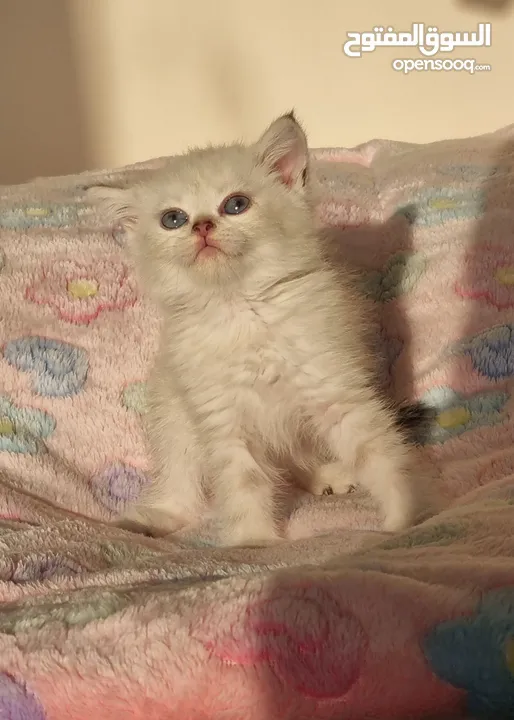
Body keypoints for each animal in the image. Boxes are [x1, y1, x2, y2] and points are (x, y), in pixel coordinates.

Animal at [89, 112, 420, 544]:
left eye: (236, 205)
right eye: (173, 219)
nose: (202, 226)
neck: (242, 311)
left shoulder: (334, 388)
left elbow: (377, 451)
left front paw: (403, 519)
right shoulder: (222, 418)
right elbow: (243, 481)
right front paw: (254, 542)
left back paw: (327, 475)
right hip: (174, 415)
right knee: (181, 481)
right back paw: (152, 518)